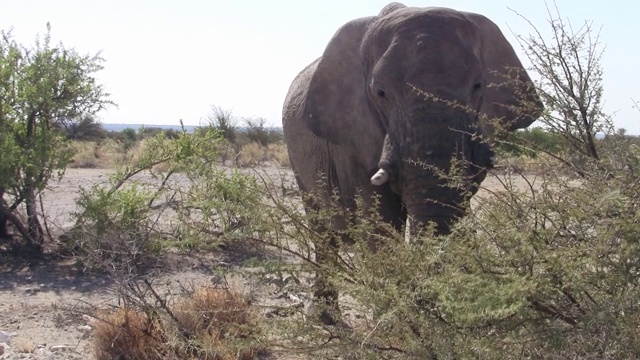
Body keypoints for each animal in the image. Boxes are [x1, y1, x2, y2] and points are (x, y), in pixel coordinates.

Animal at [282, 2, 544, 324]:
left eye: (478, 86)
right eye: (380, 93)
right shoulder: (353, 135)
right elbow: (381, 224)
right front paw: (397, 326)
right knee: (321, 230)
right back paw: (323, 318)